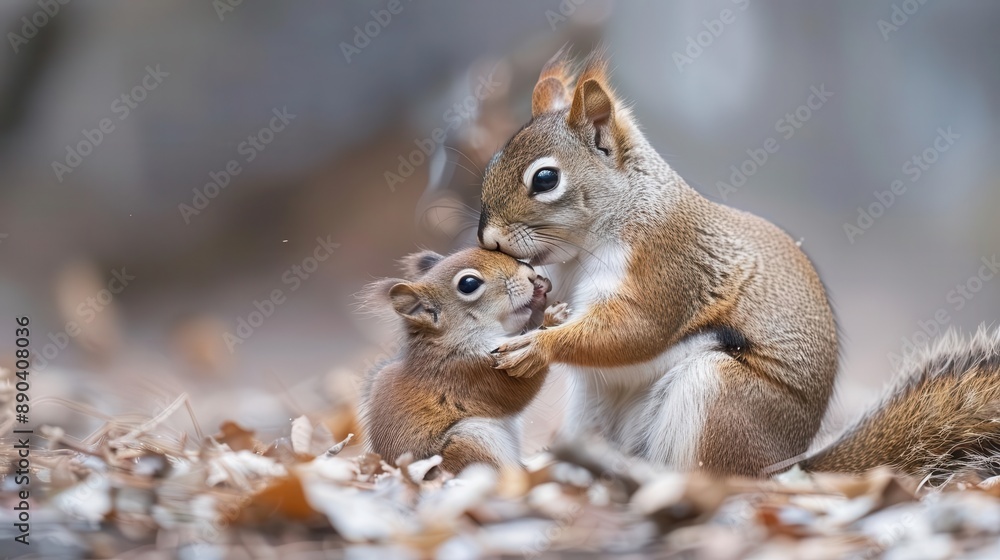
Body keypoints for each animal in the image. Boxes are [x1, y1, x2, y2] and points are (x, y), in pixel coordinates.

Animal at [358, 248, 570, 474]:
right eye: (468, 284)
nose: (530, 274)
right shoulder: (472, 373)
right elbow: (520, 388)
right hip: (470, 440)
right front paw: (550, 321)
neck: (449, 344)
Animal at [475, 49, 1000, 480]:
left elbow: (637, 329)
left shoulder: (669, 264)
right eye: (493, 160)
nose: (488, 239)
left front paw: (539, 346)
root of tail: (785, 468)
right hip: (594, 407)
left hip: (720, 395)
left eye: (546, 179)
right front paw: (542, 315)